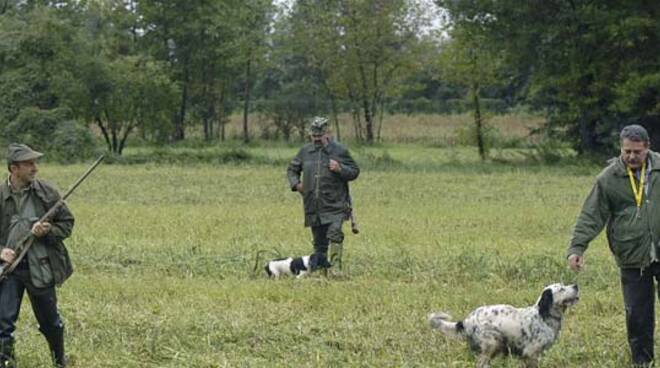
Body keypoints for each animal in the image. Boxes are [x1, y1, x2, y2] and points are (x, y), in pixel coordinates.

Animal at [428, 284, 576, 366]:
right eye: (561, 289)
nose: (576, 286)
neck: (543, 316)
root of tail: (467, 320)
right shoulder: (531, 353)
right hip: (491, 343)